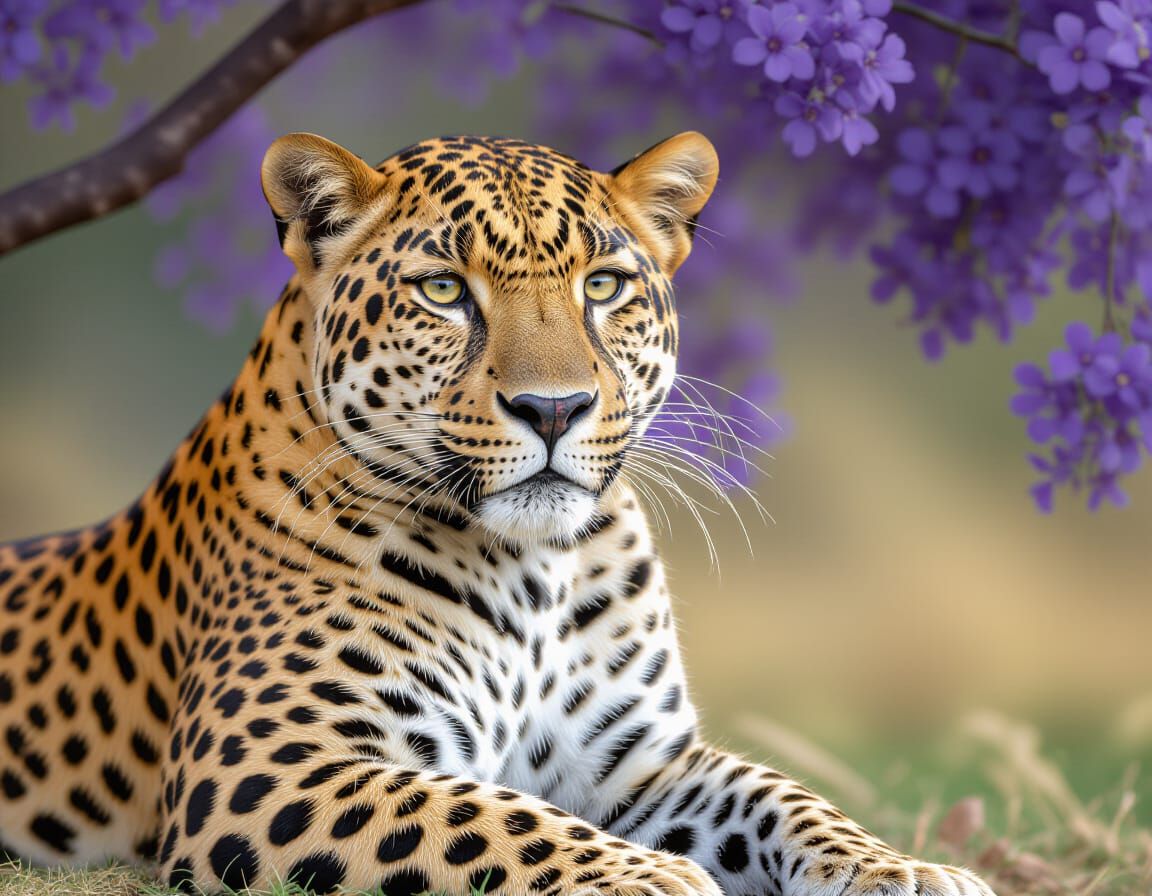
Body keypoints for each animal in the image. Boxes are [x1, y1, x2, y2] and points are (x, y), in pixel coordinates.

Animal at [0, 131, 995, 896]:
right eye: (444, 290)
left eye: (603, 286)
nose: (553, 409)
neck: (535, 568)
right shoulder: (265, 764)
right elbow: (489, 814)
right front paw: (653, 879)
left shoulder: (641, 764)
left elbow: (783, 794)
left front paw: (906, 869)